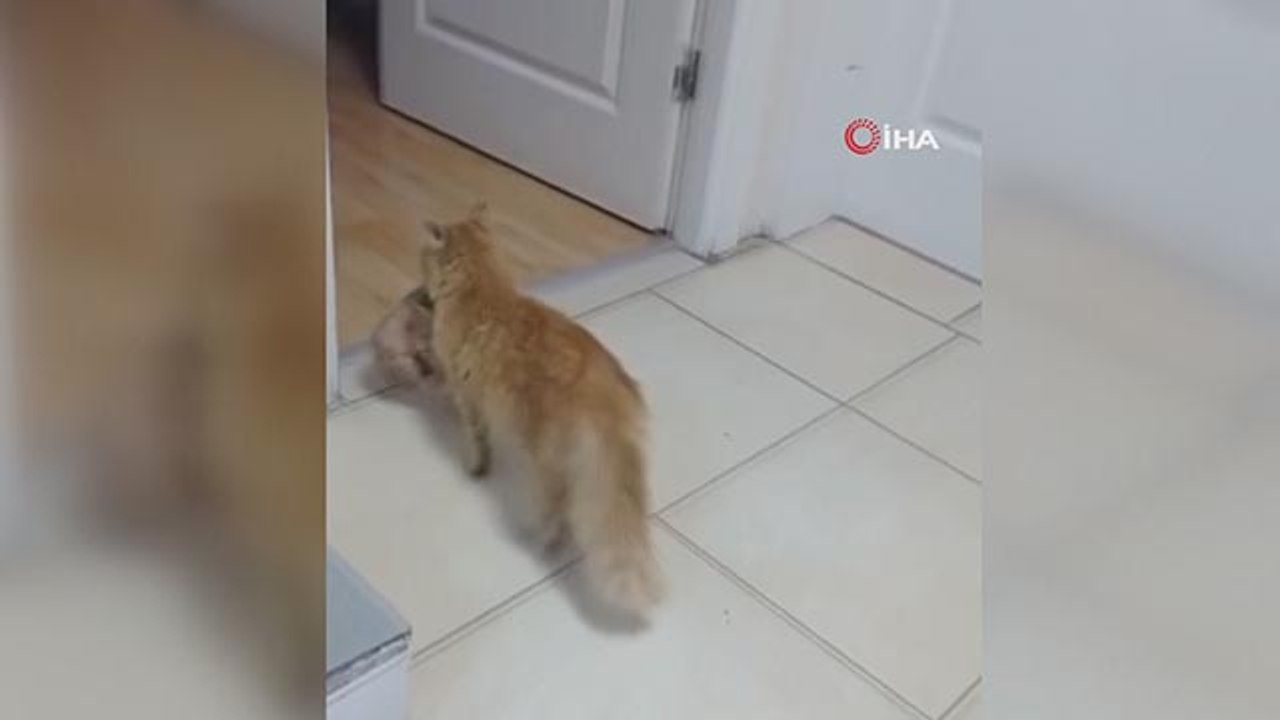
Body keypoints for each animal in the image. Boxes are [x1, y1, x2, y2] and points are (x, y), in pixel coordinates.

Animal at [419, 203, 663, 618]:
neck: (483, 285)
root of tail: (603, 393)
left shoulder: (467, 394)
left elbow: (476, 438)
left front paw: (477, 467)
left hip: (546, 463)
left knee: (558, 508)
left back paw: (542, 539)